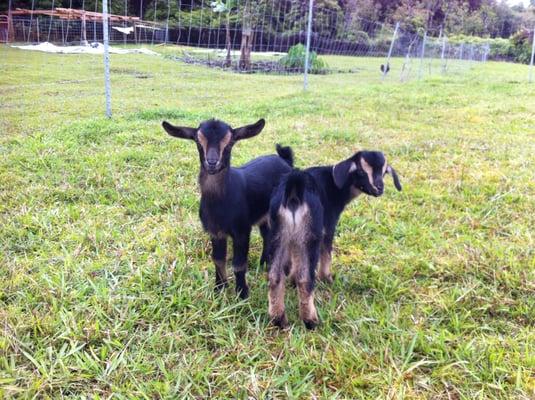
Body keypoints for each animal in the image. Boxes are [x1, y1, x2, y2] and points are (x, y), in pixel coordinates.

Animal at [163, 119, 294, 300]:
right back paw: (264, 263)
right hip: (264, 215)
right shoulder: (215, 231)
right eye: (198, 141)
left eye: (230, 142)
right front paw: (219, 288)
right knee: (267, 235)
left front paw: (242, 294)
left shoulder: (241, 231)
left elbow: (239, 264)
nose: (212, 162)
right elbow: (218, 260)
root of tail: (285, 160)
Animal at [268, 150, 402, 328]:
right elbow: (326, 254)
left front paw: (292, 279)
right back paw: (310, 320)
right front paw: (326, 278)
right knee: (306, 279)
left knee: (274, 276)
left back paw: (278, 319)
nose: (379, 189)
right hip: (311, 234)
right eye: (361, 171)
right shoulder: (328, 226)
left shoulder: (294, 238)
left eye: (384, 172)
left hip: (278, 233)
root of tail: (294, 186)